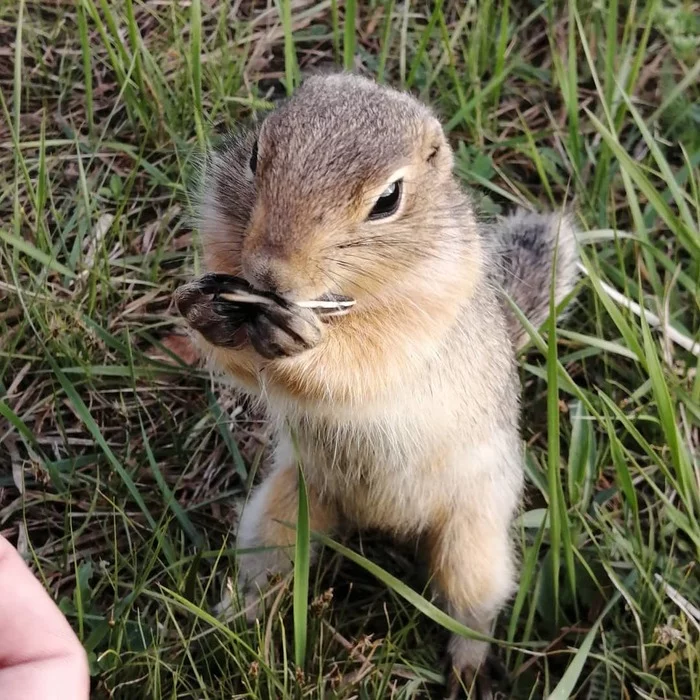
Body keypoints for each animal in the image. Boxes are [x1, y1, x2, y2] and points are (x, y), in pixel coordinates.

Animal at [175, 74, 580, 696]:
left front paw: (306, 342)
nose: (267, 272)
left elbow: (366, 362)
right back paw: (233, 623)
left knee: (472, 608)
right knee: (268, 572)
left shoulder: (422, 317)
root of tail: (378, 520)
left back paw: (468, 668)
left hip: (473, 540)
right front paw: (206, 311)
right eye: (253, 154)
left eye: (388, 200)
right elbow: (241, 364)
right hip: (278, 513)